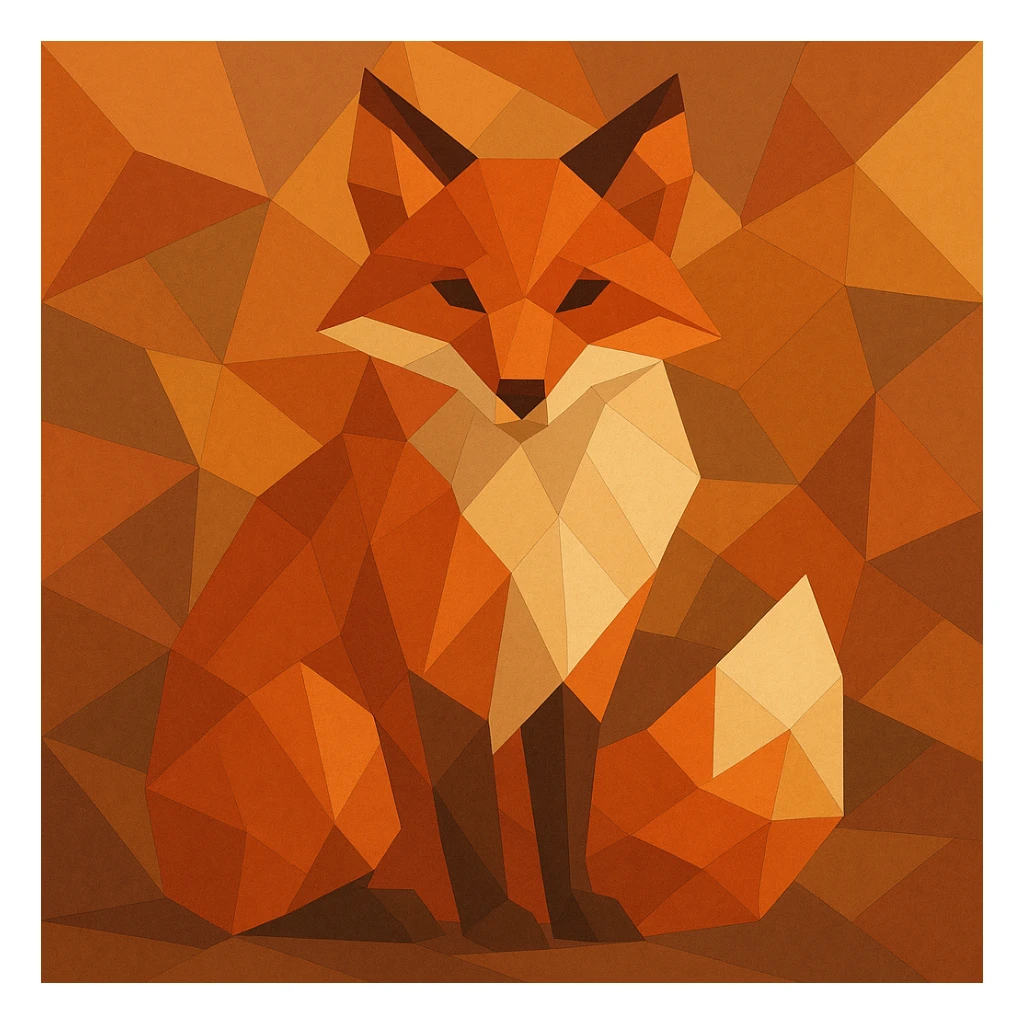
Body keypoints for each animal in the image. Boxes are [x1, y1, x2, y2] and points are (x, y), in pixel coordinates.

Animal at [146, 69, 841, 950]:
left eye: (583, 294)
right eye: (454, 292)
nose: (520, 391)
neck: (531, 511)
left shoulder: (572, 659)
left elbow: (562, 809)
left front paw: (574, 918)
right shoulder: (427, 662)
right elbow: (463, 809)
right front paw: (494, 925)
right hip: (335, 731)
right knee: (274, 910)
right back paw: (400, 913)